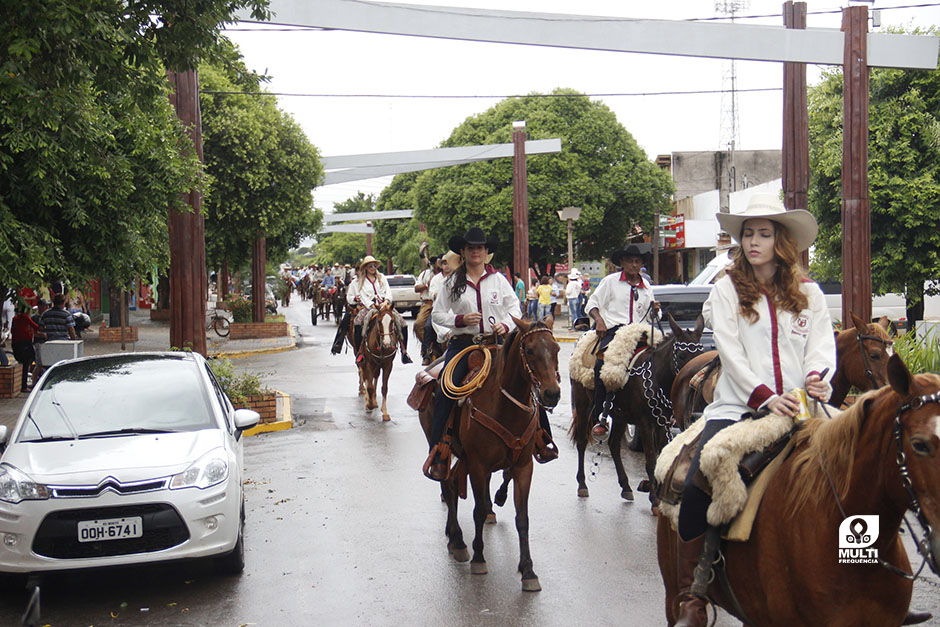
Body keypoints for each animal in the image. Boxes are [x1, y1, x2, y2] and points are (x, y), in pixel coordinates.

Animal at [430, 318, 560, 592]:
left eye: (556, 349)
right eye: (529, 350)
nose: (552, 394)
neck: (506, 408)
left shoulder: (523, 466)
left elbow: (522, 518)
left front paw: (528, 570)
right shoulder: (478, 465)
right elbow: (478, 511)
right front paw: (479, 558)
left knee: (456, 486)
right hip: (441, 449)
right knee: (447, 486)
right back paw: (457, 540)